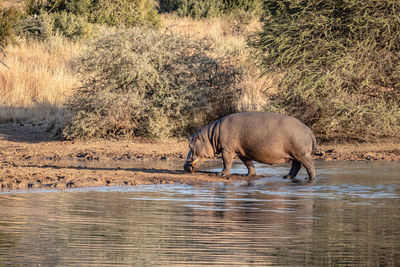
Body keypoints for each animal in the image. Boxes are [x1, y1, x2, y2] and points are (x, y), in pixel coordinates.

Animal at [183, 111, 318, 182]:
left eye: (190, 145)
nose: (184, 166)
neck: (210, 137)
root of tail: (309, 130)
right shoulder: (242, 151)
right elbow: (248, 164)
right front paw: (248, 175)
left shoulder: (227, 150)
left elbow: (227, 163)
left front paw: (221, 175)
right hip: (295, 154)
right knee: (296, 165)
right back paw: (287, 177)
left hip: (301, 153)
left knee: (310, 164)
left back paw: (309, 179)